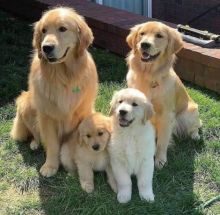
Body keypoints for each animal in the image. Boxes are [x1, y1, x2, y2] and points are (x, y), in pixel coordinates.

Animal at [11, 7, 98, 177]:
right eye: (43, 31)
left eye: (62, 29)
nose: (46, 48)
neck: (63, 77)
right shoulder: (46, 116)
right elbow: (51, 144)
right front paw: (50, 166)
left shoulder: (82, 115)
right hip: (25, 103)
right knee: (35, 134)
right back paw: (34, 144)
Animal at [126, 22, 202, 170]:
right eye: (142, 34)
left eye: (159, 36)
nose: (144, 44)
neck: (148, 75)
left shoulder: (166, 115)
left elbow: (162, 141)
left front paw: (160, 160)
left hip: (189, 112)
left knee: (195, 126)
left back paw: (195, 136)